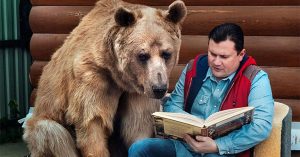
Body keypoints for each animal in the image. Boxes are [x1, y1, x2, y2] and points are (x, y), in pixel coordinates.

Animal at [23, 0, 186, 156]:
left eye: (166, 53)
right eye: (142, 55)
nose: (159, 88)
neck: (118, 75)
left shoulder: (138, 90)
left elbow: (137, 123)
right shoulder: (92, 77)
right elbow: (93, 121)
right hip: (44, 122)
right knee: (52, 134)